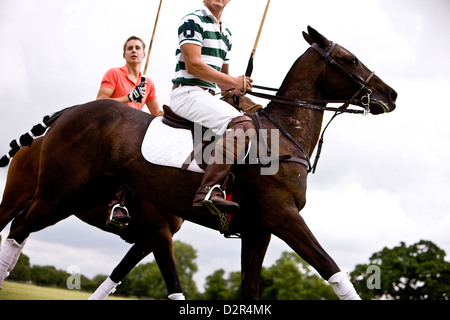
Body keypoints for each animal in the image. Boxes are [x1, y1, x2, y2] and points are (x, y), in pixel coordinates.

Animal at [0, 27, 396, 300]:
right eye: (349, 58)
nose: (390, 94)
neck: (283, 133)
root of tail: (67, 112)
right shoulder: (281, 216)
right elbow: (331, 268)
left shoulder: (256, 230)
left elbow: (249, 291)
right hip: (55, 193)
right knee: (16, 230)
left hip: (70, 197)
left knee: (19, 229)